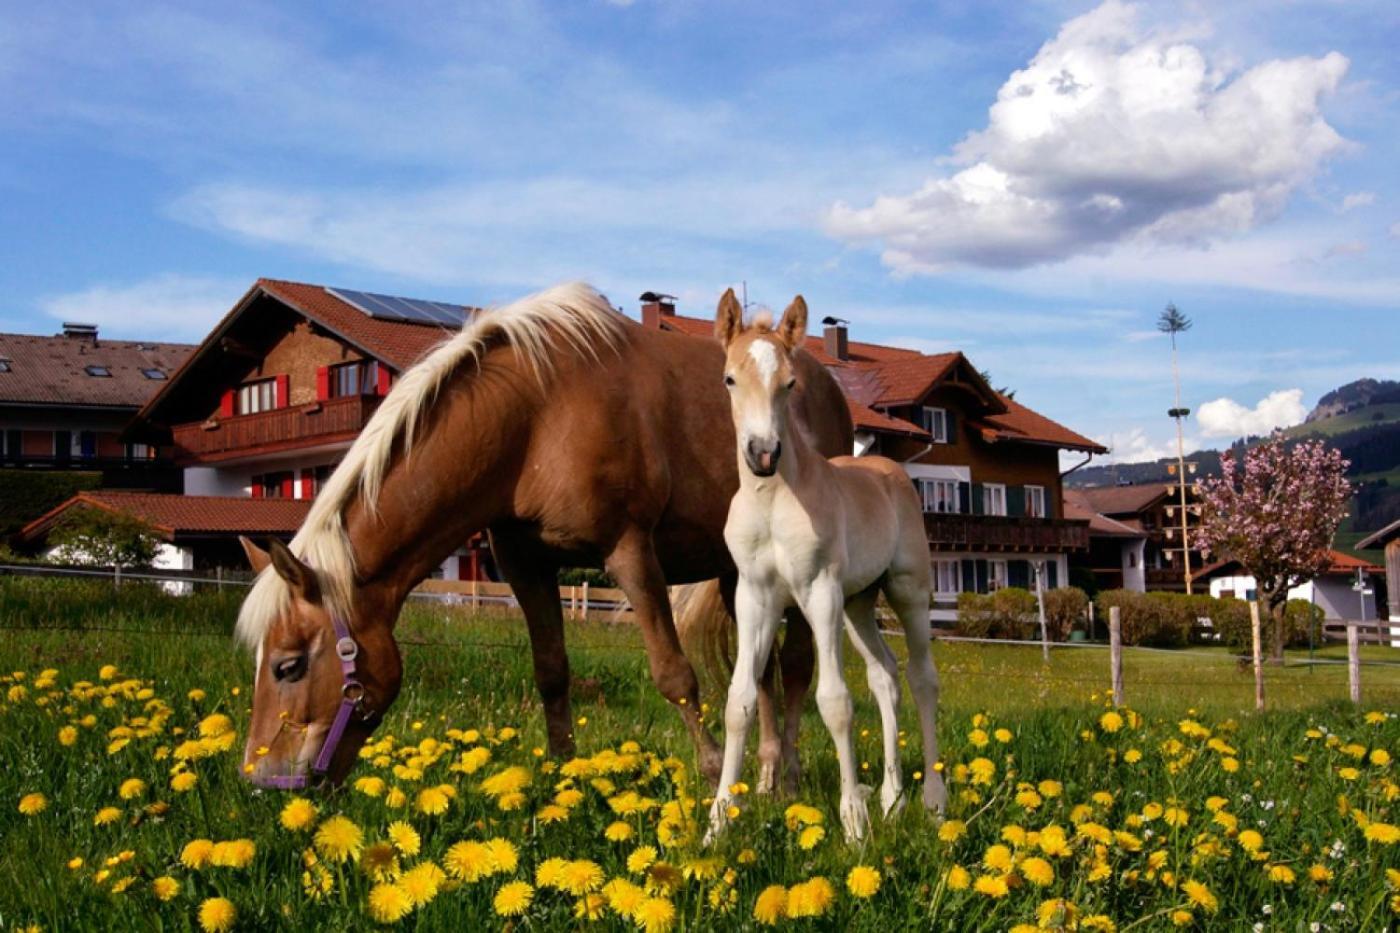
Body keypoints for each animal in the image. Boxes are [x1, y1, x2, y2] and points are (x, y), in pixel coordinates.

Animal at [233, 281, 845, 784]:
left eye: (289, 665)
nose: (260, 779)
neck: (536, 416)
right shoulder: (525, 563)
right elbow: (551, 672)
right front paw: (562, 775)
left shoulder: (630, 553)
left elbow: (674, 674)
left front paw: (712, 772)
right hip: (736, 573)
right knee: (761, 671)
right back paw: (763, 778)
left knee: (795, 669)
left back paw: (788, 778)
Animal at [705, 294, 946, 840]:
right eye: (729, 378)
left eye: (790, 383)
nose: (763, 454)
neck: (773, 501)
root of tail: (890, 468)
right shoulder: (754, 597)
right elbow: (739, 702)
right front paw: (718, 823)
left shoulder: (819, 592)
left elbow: (835, 701)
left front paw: (854, 824)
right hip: (858, 603)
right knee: (885, 677)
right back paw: (892, 798)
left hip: (906, 590)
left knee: (922, 678)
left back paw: (933, 800)